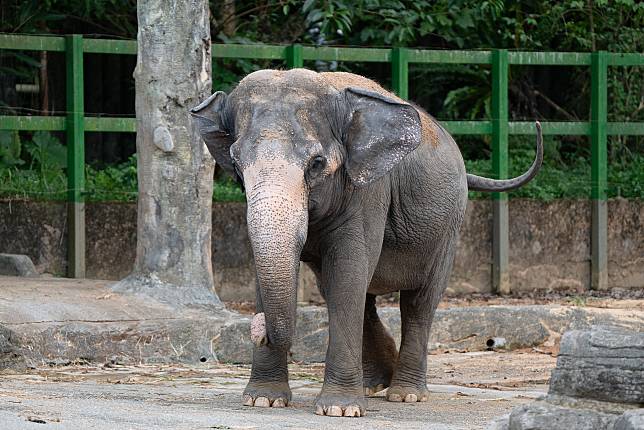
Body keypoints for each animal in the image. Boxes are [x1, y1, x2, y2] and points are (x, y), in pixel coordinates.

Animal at [191, 68, 544, 416]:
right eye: (236, 166)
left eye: (317, 164)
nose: (259, 328)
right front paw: (263, 401)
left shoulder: (369, 190)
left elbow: (349, 269)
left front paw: (339, 409)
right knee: (355, 295)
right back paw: (376, 384)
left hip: (449, 229)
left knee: (418, 302)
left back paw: (405, 394)